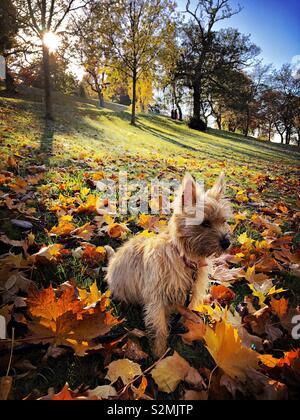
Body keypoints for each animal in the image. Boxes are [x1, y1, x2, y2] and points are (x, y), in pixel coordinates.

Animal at [106, 172, 233, 356]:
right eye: (205, 223)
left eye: (224, 221)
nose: (226, 242)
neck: (185, 259)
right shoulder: (157, 299)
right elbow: (159, 328)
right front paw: (159, 353)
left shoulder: (191, 295)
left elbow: (187, 313)